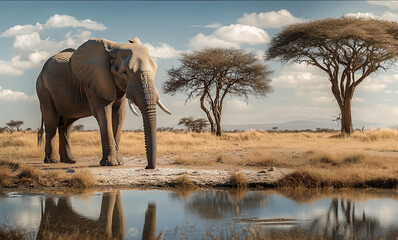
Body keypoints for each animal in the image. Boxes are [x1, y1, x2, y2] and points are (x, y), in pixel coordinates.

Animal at [37, 37, 173, 169]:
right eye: (124, 72)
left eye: (155, 69)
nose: (147, 167)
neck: (113, 49)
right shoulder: (95, 81)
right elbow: (103, 113)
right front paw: (111, 163)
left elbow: (119, 115)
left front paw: (120, 162)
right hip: (44, 91)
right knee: (52, 122)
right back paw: (52, 161)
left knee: (66, 126)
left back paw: (70, 161)